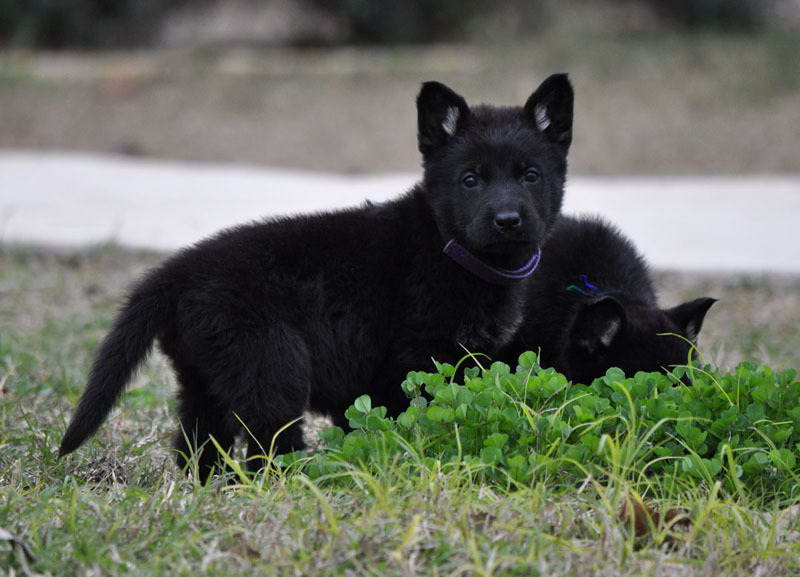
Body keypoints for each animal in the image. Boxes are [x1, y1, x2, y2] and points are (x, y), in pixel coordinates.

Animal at [61, 73, 576, 476]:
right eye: (470, 180)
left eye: (530, 175)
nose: (508, 220)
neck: (448, 246)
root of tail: (179, 269)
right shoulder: (412, 362)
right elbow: (412, 422)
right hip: (273, 370)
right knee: (267, 449)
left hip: (205, 378)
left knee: (200, 445)